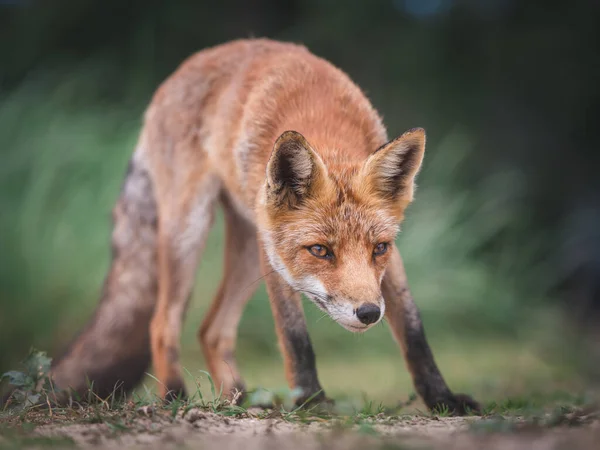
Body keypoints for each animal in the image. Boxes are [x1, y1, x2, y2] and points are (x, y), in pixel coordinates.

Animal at [42, 38, 480, 414]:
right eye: (320, 250)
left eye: (379, 249)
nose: (369, 313)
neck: (326, 132)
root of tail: (183, 69)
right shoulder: (279, 261)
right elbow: (295, 338)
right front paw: (313, 402)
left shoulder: (388, 261)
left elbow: (414, 331)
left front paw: (442, 399)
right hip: (193, 231)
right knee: (163, 323)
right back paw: (174, 398)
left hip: (249, 247)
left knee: (211, 330)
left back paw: (239, 400)